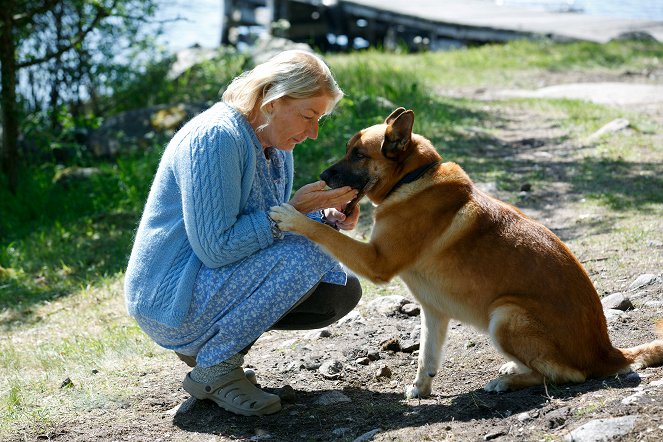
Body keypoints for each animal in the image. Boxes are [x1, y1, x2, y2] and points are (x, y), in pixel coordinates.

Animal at [270, 106, 663, 398]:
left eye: (357, 154)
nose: (323, 174)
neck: (412, 179)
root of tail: (606, 350)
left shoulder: (375, 260)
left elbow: (325, 232)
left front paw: (292, 216)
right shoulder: (433, 312)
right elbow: (426, 357)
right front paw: (420, 389)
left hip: (505, 315)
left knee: (568, 375)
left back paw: (507, 381)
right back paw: (513, 368)